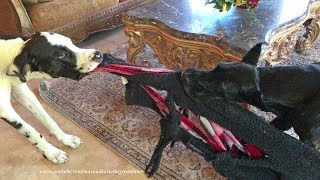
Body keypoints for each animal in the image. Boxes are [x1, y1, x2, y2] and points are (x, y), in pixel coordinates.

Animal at [0, 32, 102, 163]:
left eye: (71, 42)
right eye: (62, 55)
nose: (98, 54)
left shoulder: (22, 92)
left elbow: (49, 120)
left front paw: (66, 139)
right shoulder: (6, 111)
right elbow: (32, 133)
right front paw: (53, 153)